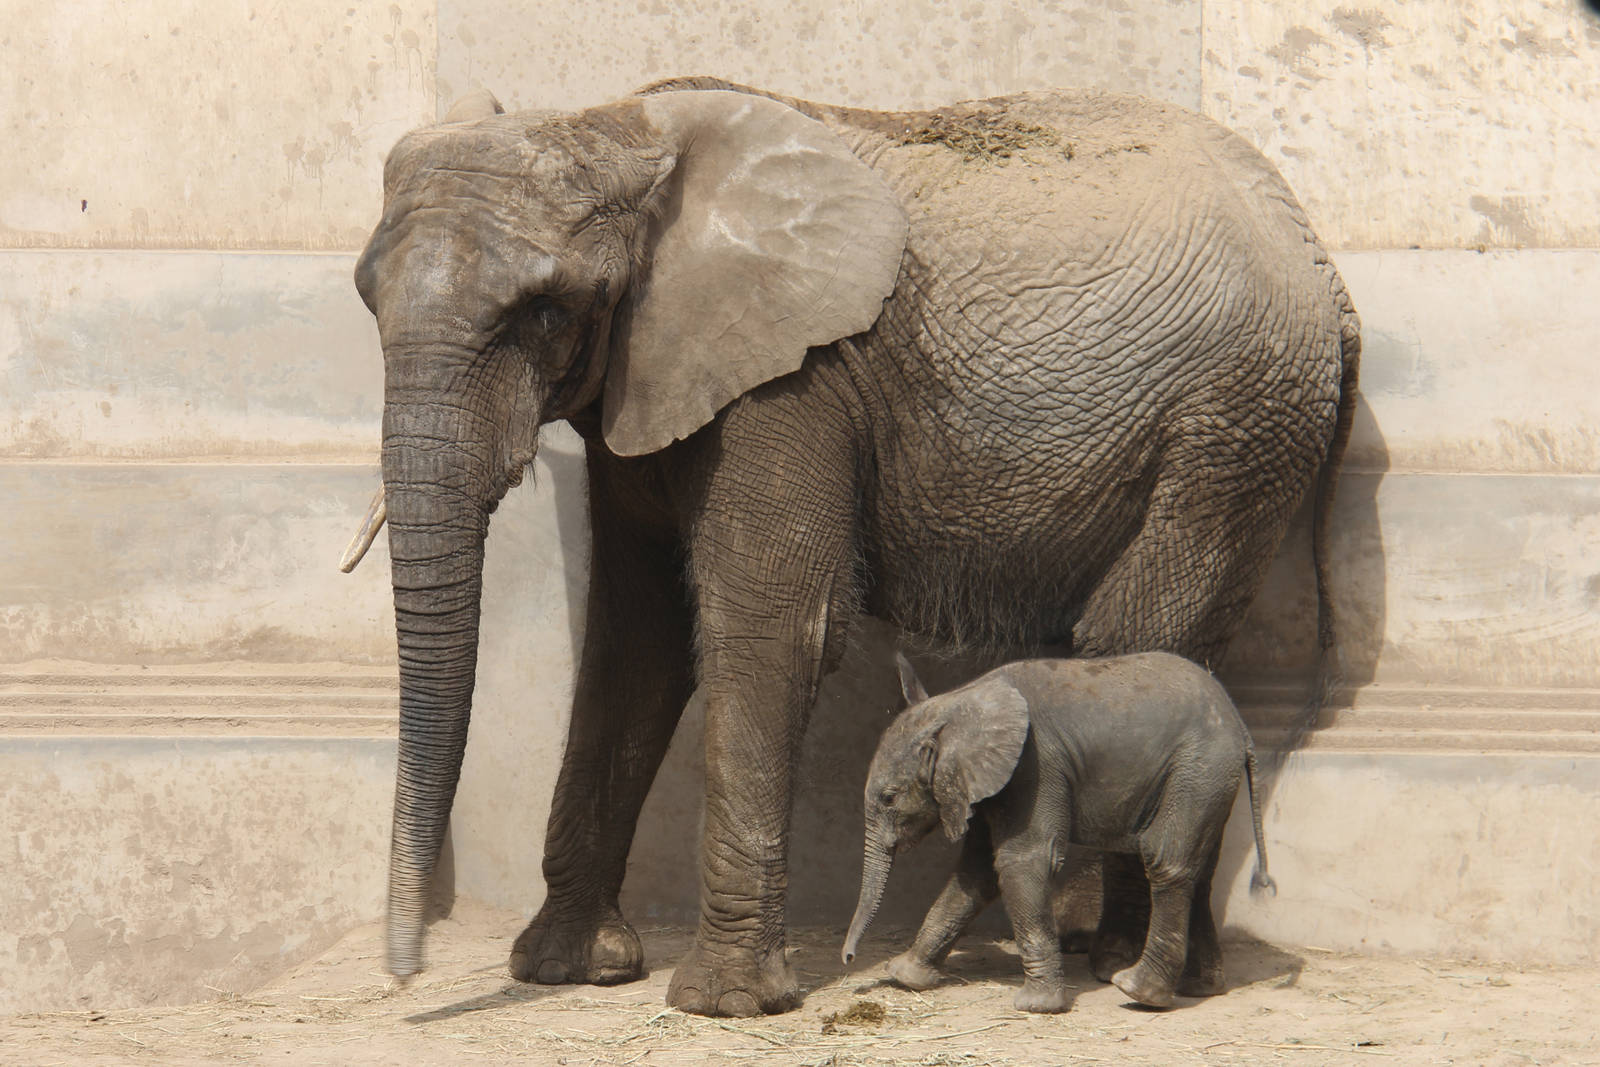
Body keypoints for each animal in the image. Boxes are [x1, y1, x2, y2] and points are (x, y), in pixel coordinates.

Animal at [842, 652, 1274, 1013]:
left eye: (889, 798)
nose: (848, 960)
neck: (959, 702)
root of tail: (1241, 727)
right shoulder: (982, 782)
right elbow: (977, 873)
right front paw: (905, 976)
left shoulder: (1035, 766)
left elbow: (1021, 860)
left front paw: (1035, 1006)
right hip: (1207, 780)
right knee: (1197, 871)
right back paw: (1198, 989)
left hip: (1198, 769)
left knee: (1166, 861)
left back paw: (1137, 990)